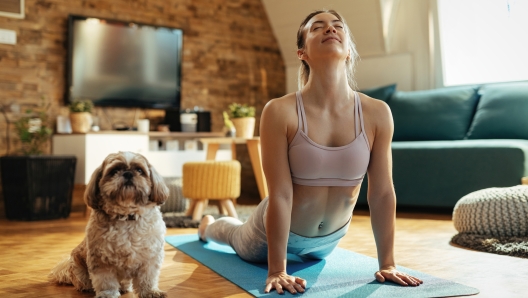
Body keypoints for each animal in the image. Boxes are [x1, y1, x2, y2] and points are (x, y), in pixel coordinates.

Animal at [49, 152, 168, 296]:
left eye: (139, 170)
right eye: (114, 171)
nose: (128, 173)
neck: (127, 216)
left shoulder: (150, 258)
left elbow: (148, 277)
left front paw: (150, 291)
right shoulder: (101, 260)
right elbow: (106, 281)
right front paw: (108, 294)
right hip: (78, 268)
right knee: (83, 281)